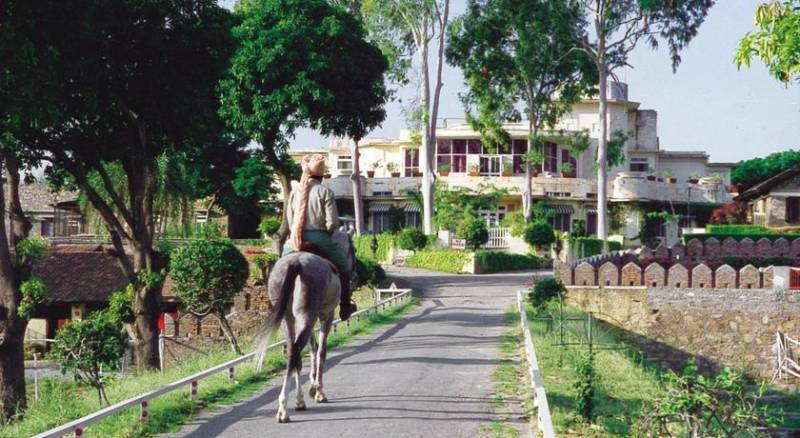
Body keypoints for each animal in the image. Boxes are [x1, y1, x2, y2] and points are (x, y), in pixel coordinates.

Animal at [255, 231, 354, 422]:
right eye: (353, 249)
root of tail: (296, 263)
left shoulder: (311, 319)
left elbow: (313, 349)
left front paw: (312, 386)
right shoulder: (326, 316)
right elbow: (321, 351)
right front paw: (318, 390)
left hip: (290, 318)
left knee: (294, 353)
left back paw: (296, 402)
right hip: (308, 315)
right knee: (297, 351)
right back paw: (284, 408)